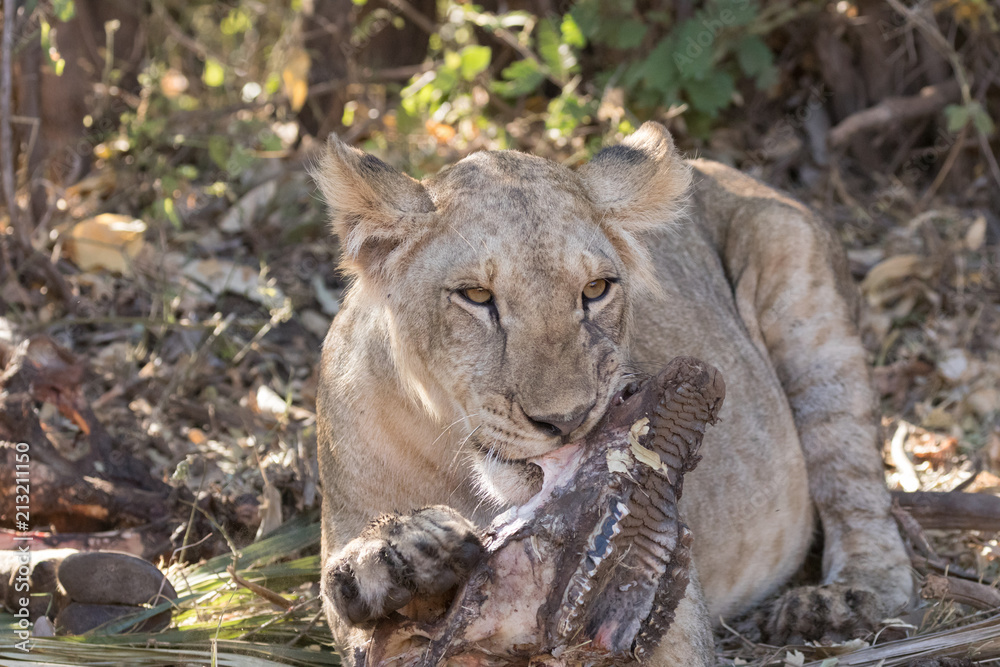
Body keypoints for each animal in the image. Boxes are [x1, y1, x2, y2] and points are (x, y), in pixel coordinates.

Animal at [312, 122, 913, 666]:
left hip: (802, 289)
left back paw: (842, 599)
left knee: (854, 482)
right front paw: (396, 557)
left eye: (596, 289)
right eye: (476, 296)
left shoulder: (677, 622)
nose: (567, 420)